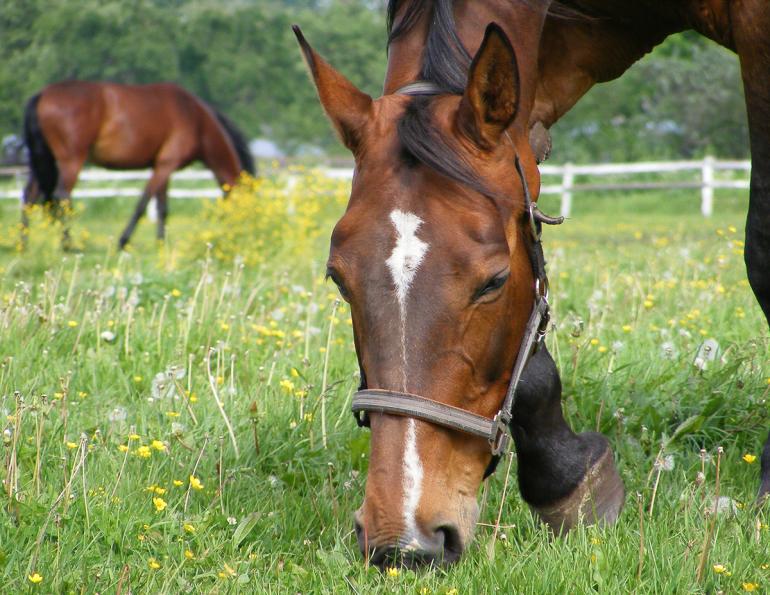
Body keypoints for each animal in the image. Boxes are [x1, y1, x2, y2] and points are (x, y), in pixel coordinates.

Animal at [22, 81, 255, 249]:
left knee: (29, 195)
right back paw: (68, 245)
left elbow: (162, 208)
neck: (196, 120)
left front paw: (160, 243)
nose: (243, 237)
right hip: (71, 160)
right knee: (61, 196)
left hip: (44, 161)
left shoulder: (162, 167)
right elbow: (143, 203)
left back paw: (23, 244)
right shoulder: (166, 165)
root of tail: (41, 95)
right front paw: (123, 241)